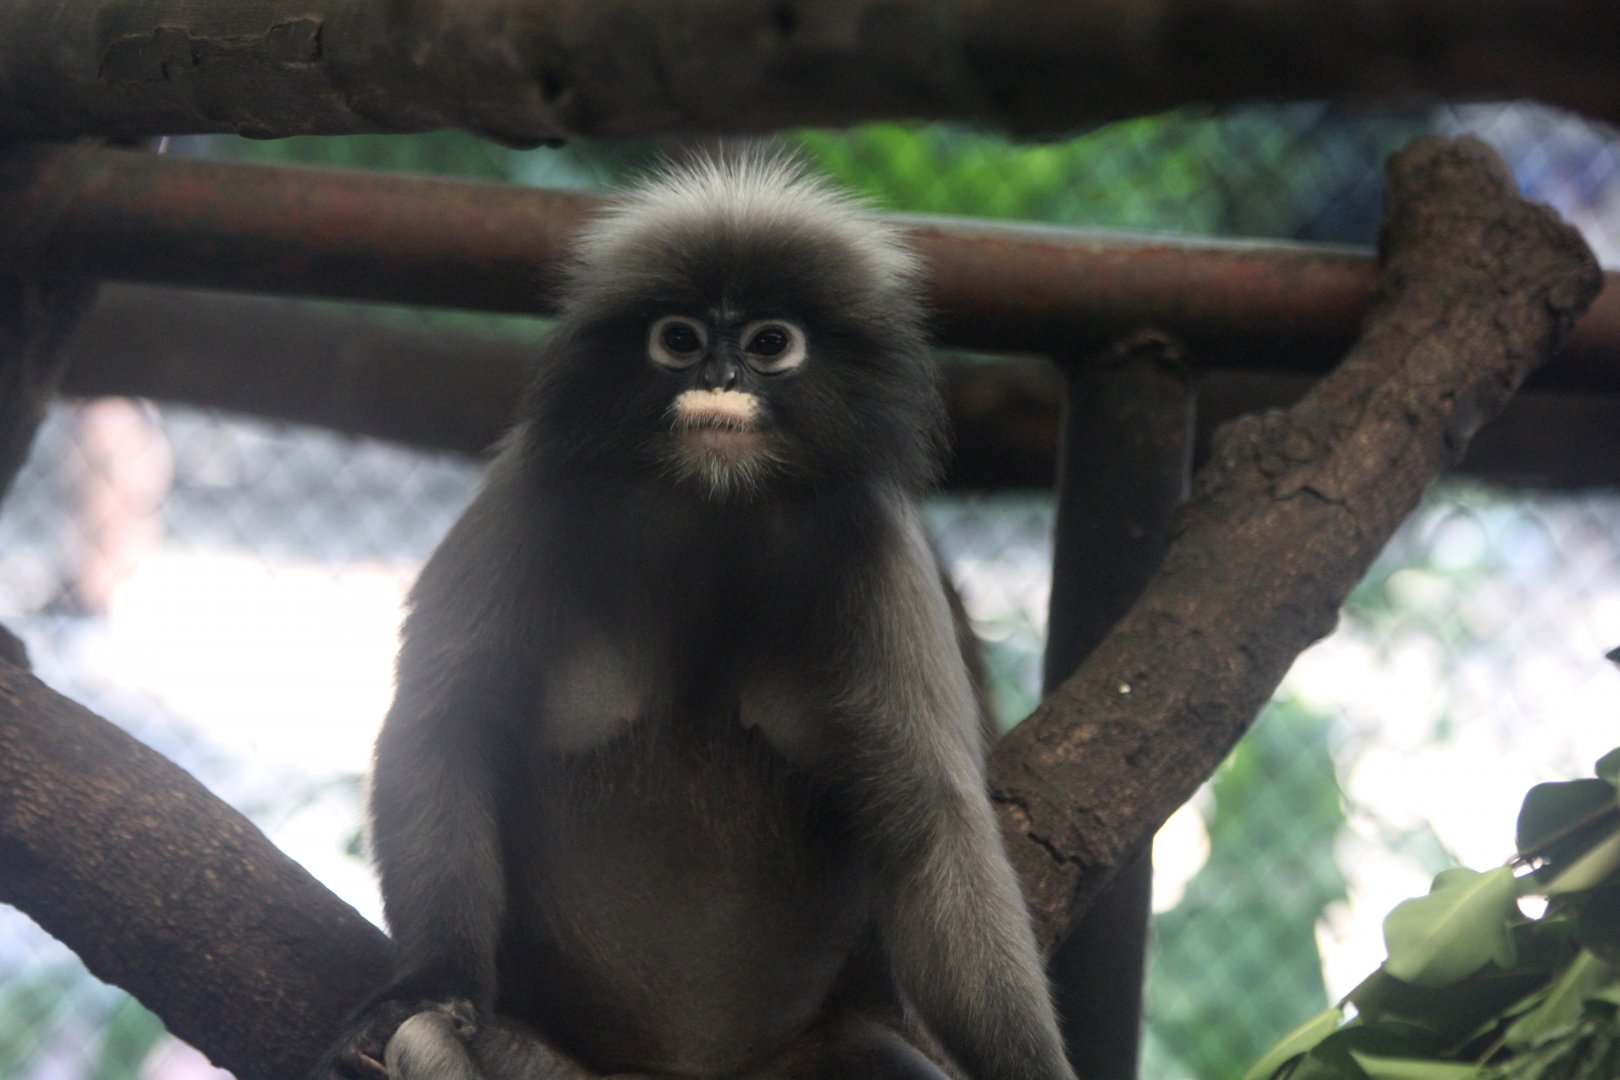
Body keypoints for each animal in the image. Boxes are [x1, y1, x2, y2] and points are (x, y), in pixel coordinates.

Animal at [315, 154, 1076, 1080]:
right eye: (679, 339)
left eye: (768, 344)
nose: (721, 380)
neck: (713, 504)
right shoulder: (530, 487)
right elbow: (444, 729)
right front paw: (428, 979)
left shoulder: (879, 544)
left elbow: (929, 819)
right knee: (425, 1040)